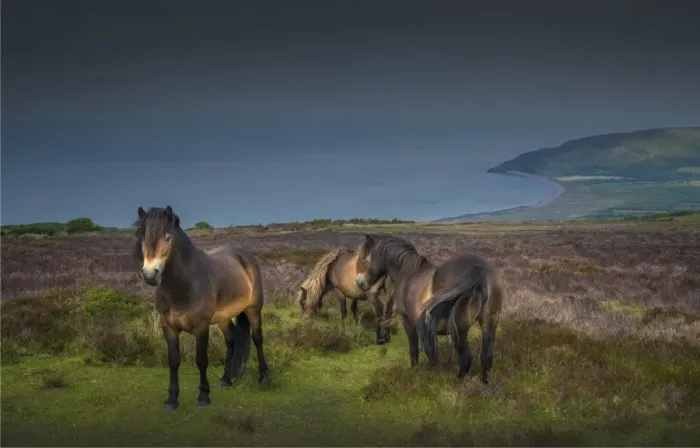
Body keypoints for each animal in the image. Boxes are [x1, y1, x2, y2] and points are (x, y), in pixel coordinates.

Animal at [133, 206, 270, 411]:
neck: (185, 285)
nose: (150, 275)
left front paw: (204, 396)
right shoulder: (168, 327)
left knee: (257, 338)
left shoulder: (201, 326)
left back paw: (264, 377)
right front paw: (172, 399)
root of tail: (244, 256)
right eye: (142, 237)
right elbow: (173, 361)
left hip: (253, 308)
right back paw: (226, 379)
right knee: (231, 339)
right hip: (223, 317)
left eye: (168, 237)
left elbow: (201, 360)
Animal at [354, 234, 504, 383]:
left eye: (364, 258)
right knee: (486, 357)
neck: (408, 271)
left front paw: (416, 371)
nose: (359, 282)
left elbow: (413, 349)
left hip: (460, 330)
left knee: (466, 358)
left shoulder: (408, 321)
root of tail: (480, 270)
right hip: (489, 324)